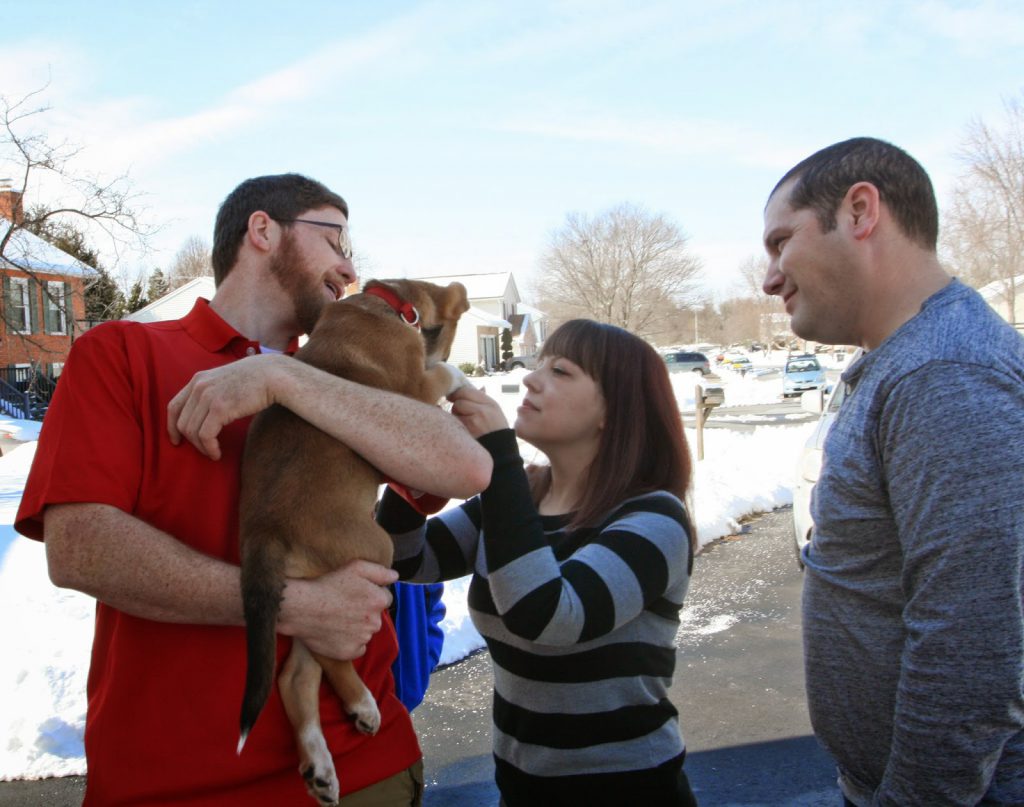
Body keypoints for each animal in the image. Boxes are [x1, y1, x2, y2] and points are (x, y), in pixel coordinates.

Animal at [234, 276, 468, 798]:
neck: (390, 303)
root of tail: (263, 528)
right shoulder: (415, 392)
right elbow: (442, 373)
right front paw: (463, 379)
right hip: (374, 552)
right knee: (326, 654)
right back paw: (362, 705)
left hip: (314, 586)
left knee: (296, 674)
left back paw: (320, 766)